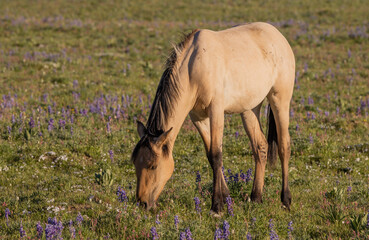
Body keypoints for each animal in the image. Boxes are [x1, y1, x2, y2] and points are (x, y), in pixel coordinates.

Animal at [131, 22, 294, 214]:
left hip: (280, 101)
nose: (142, 203)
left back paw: (286, 199)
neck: (194, 67)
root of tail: (278, 36)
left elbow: (217, 154)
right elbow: (210, 155)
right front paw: (225, 197)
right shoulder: (198, 118)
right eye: (135, 164)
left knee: (284, 146)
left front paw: (217, 206)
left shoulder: (216, 111)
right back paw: (256, 198)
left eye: (153, 166)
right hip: (250, 109)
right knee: (260, 146)